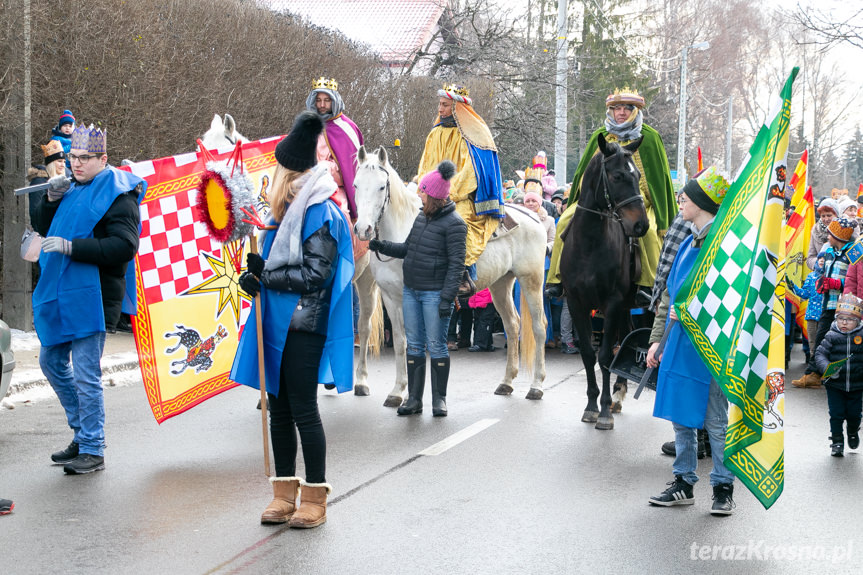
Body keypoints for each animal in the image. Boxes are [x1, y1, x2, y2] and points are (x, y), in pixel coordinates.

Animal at [354, 147, 552, 400]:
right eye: (356, 185)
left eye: (381, 186)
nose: (363, 229)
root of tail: (533, 217)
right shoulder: (391, 298)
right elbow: (400, 342)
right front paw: (397, 390)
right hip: (501, 284)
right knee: (512, 324)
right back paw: (506, 382)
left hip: (531, 280)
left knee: (539, 327)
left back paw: (536, 385)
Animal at [560, 135, 648, 430]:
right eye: (617, 176)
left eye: (638, 175)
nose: (641, 226)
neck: (590, 244)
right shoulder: (576, 303)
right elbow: (589, 353)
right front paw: (591, 406)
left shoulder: (612, 303)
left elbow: (606, 356)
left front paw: (605, 409)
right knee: (627, 336)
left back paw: (618, 395)